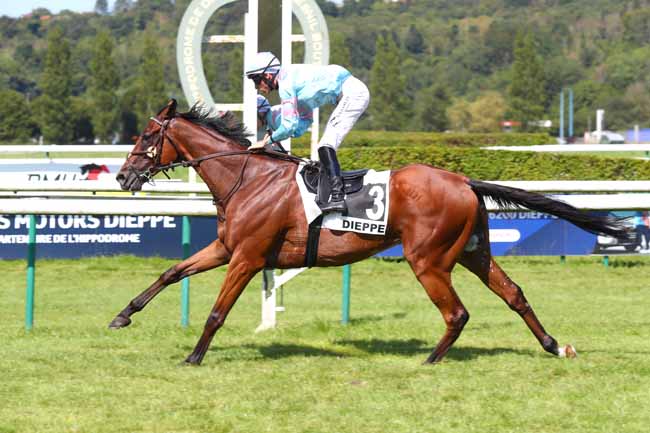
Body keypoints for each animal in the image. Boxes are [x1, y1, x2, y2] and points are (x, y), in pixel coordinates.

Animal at [111, 98, 628, 364]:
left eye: (146, 137)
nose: (122, 177)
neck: (247, 177)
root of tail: (464, 179)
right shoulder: (225, 246)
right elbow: (171, 273)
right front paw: (123, 316)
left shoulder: (248, 257)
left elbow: (217, 312)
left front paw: (194, 357)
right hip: (473, 251)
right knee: (514, 293)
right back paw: (552, 345)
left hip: (429, 259)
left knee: (457, 313)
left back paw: (430, 361)